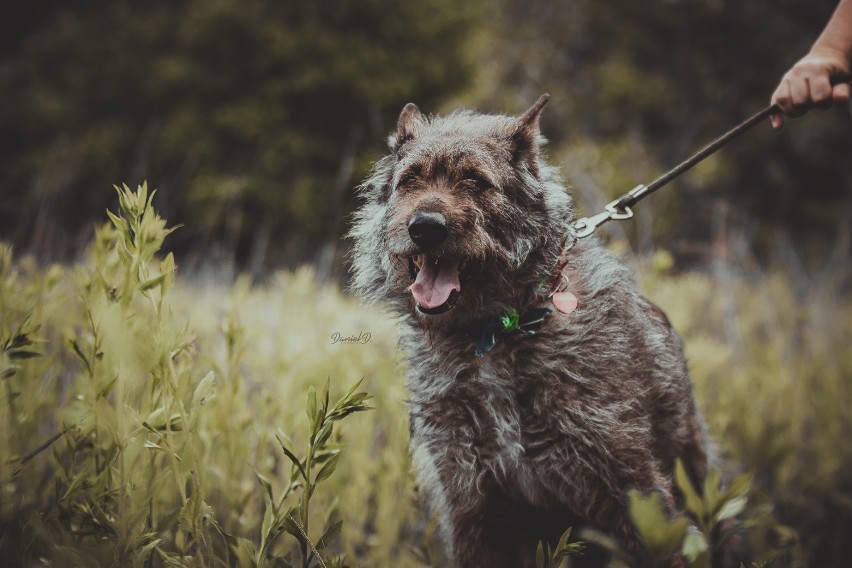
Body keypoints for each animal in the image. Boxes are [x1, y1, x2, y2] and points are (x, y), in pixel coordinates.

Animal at [350, 95, 708, 564]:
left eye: (475, 181)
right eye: (410, 180)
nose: (424, 226)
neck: (494, 332)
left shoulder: (633, 487)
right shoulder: (470, 503)